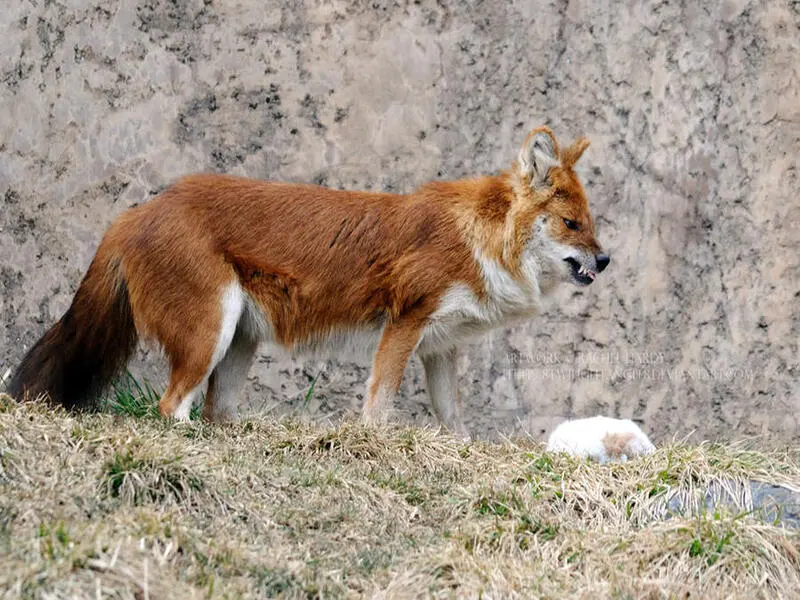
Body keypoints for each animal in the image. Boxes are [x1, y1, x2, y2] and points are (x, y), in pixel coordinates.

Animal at [9, 126, 608, 436]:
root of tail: (135, 213)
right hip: (210, 333)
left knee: (214, 411)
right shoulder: (406, 319)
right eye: (571, 224)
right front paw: (373, 446)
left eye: (592, 223)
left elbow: (452, 417)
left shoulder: (441, 346)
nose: (604, 261)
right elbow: (379, 401)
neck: (478, 236)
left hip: (239, 342)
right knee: (169, 407)